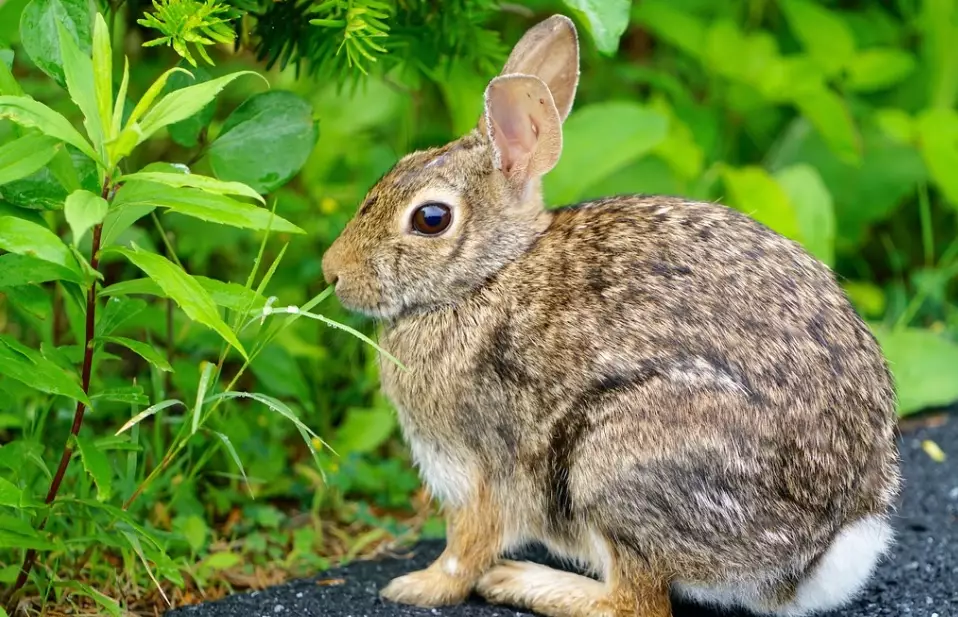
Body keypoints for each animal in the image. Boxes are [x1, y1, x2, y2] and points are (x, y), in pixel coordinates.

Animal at [320, 14, 901, 617]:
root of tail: (821, 553)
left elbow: (467, 545)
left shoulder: (485, 466)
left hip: (615, 462)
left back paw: (524, 582)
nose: (331, 272)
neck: (488, 276)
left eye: (431, 219)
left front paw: (419, 587)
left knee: (634, 600)